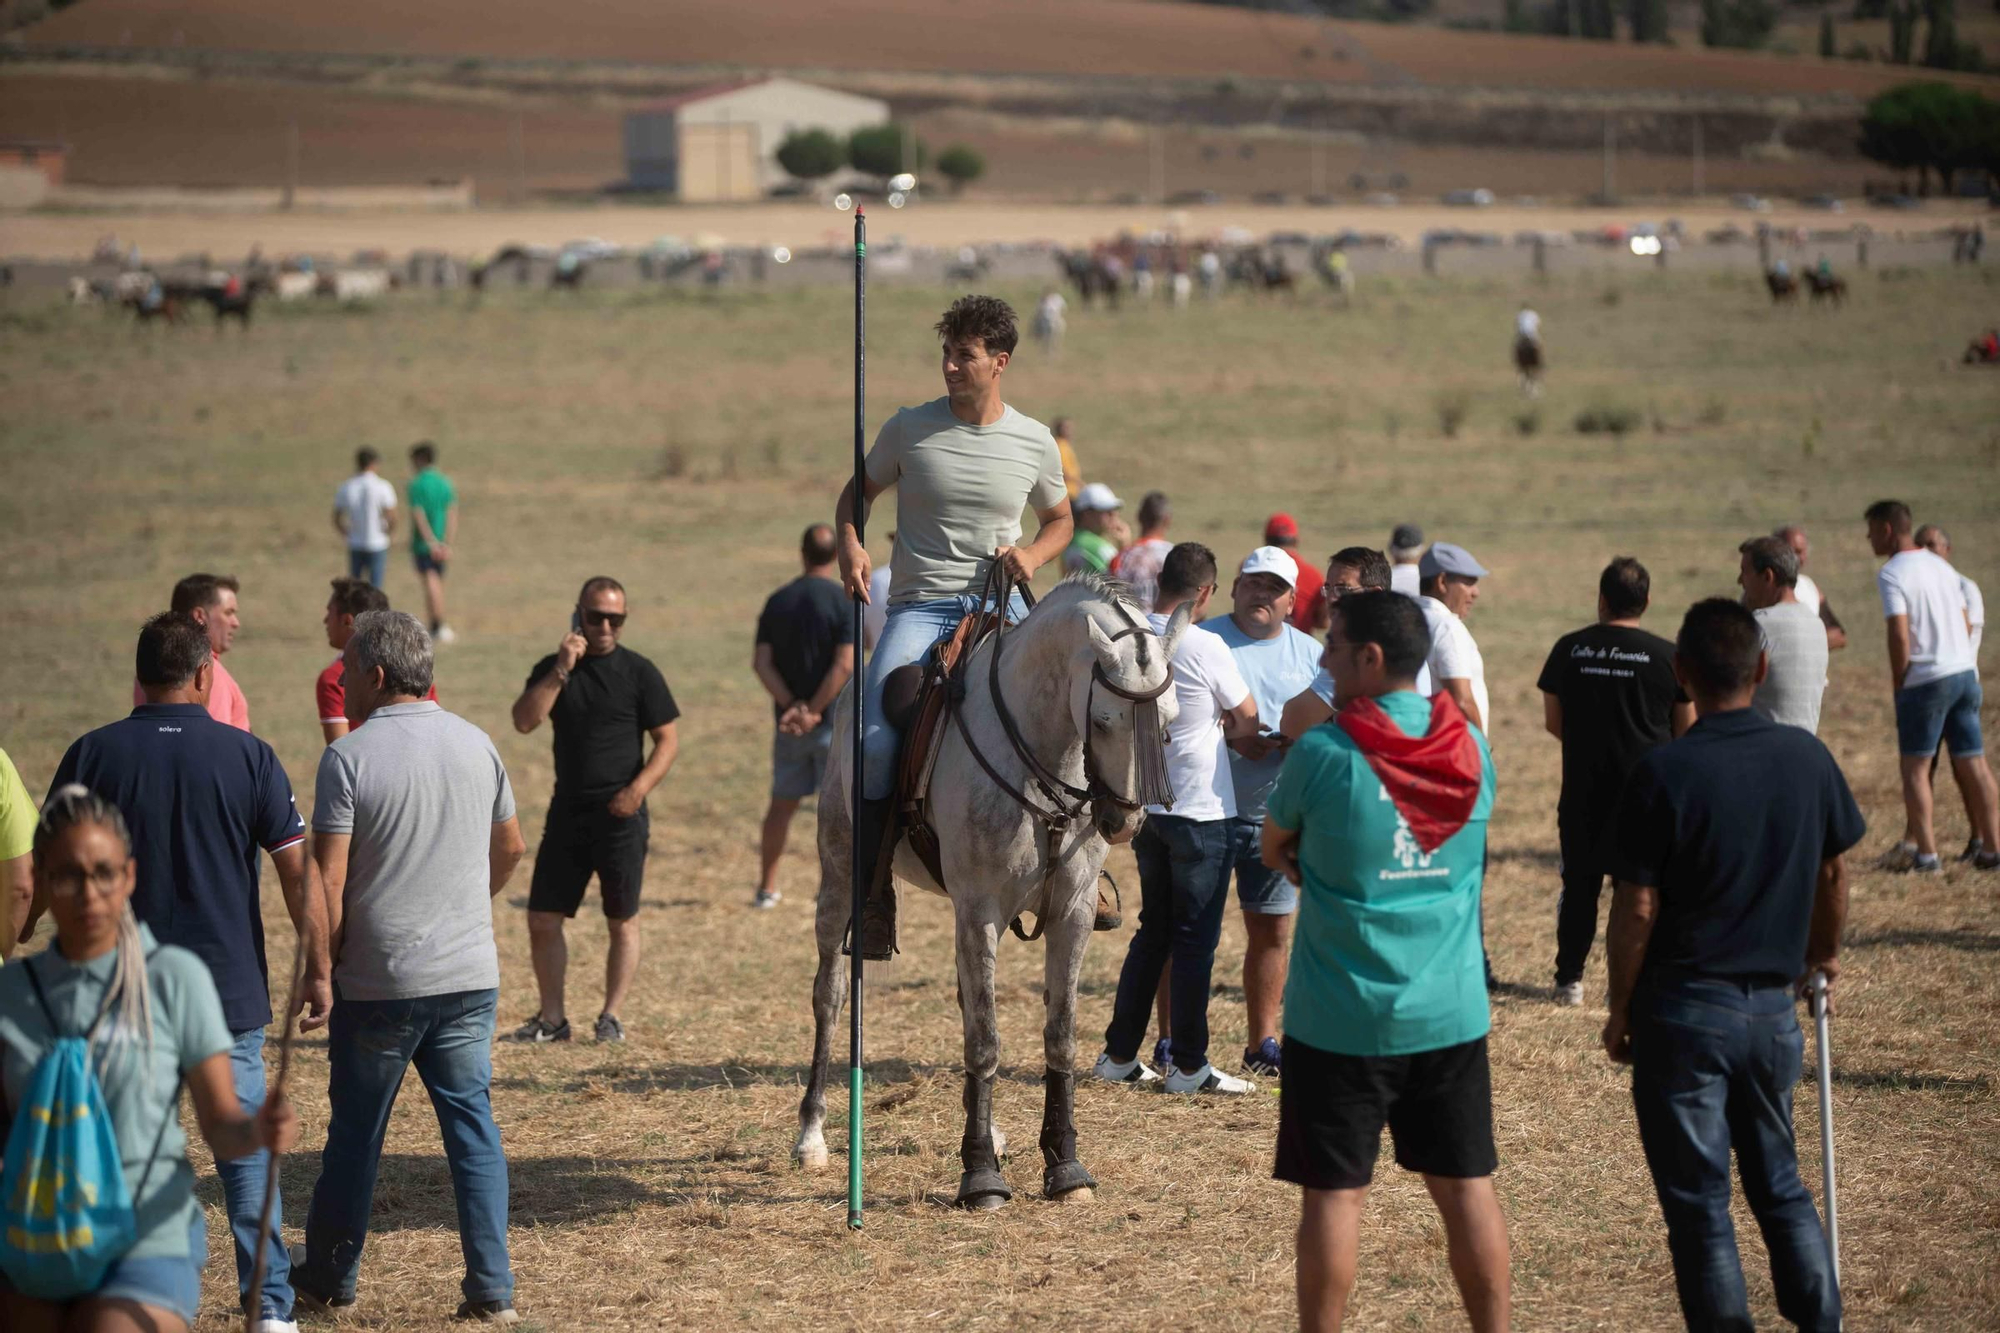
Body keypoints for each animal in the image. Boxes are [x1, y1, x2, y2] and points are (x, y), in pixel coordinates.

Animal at [788, 572, 1176, 1200]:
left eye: (1167, 723)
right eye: (1102, 721)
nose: (1124, 821)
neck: (1043, 755)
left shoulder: (1070, 913)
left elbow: (1057, 1034)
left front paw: (1064, 1165)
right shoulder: (981, 910)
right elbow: (986, 1039)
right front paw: (980, 1176)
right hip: (839, 871)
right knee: (831, 994)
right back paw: (812, 1136)